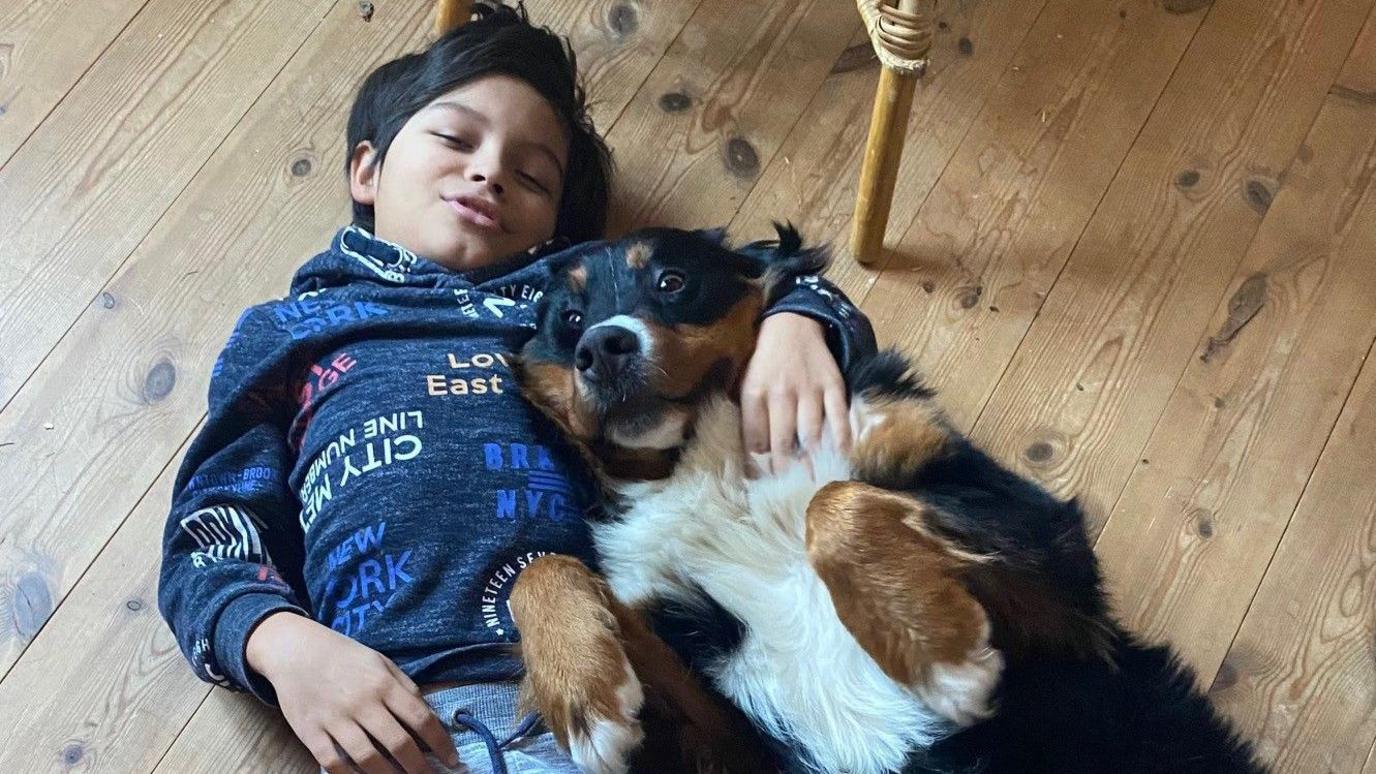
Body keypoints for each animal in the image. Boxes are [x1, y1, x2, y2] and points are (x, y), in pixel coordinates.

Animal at [506, 223, 1260, 771]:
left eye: (671, 281)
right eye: (568, 318)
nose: (602, 347)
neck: (709, 462)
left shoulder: (1054, 575)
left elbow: (835, 503)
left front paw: (933, 651)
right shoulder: (727, 725)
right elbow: (544, 570)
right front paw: (582, 695)